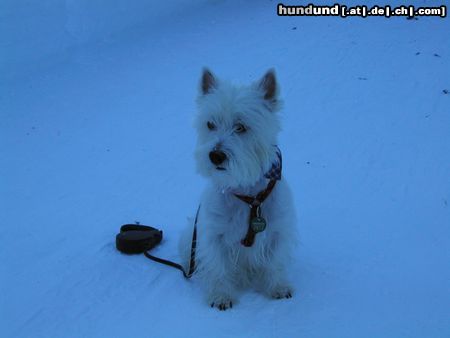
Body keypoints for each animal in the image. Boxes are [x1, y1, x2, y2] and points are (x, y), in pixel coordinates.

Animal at [179, 67, 298, 310]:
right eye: (210, 124)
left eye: (241, 127)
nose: (215, 155)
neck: (249, 196)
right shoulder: (214, 234)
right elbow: (218, 267)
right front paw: (221, 296)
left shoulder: (279, 230)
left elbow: (275, 262)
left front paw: (278, 288)